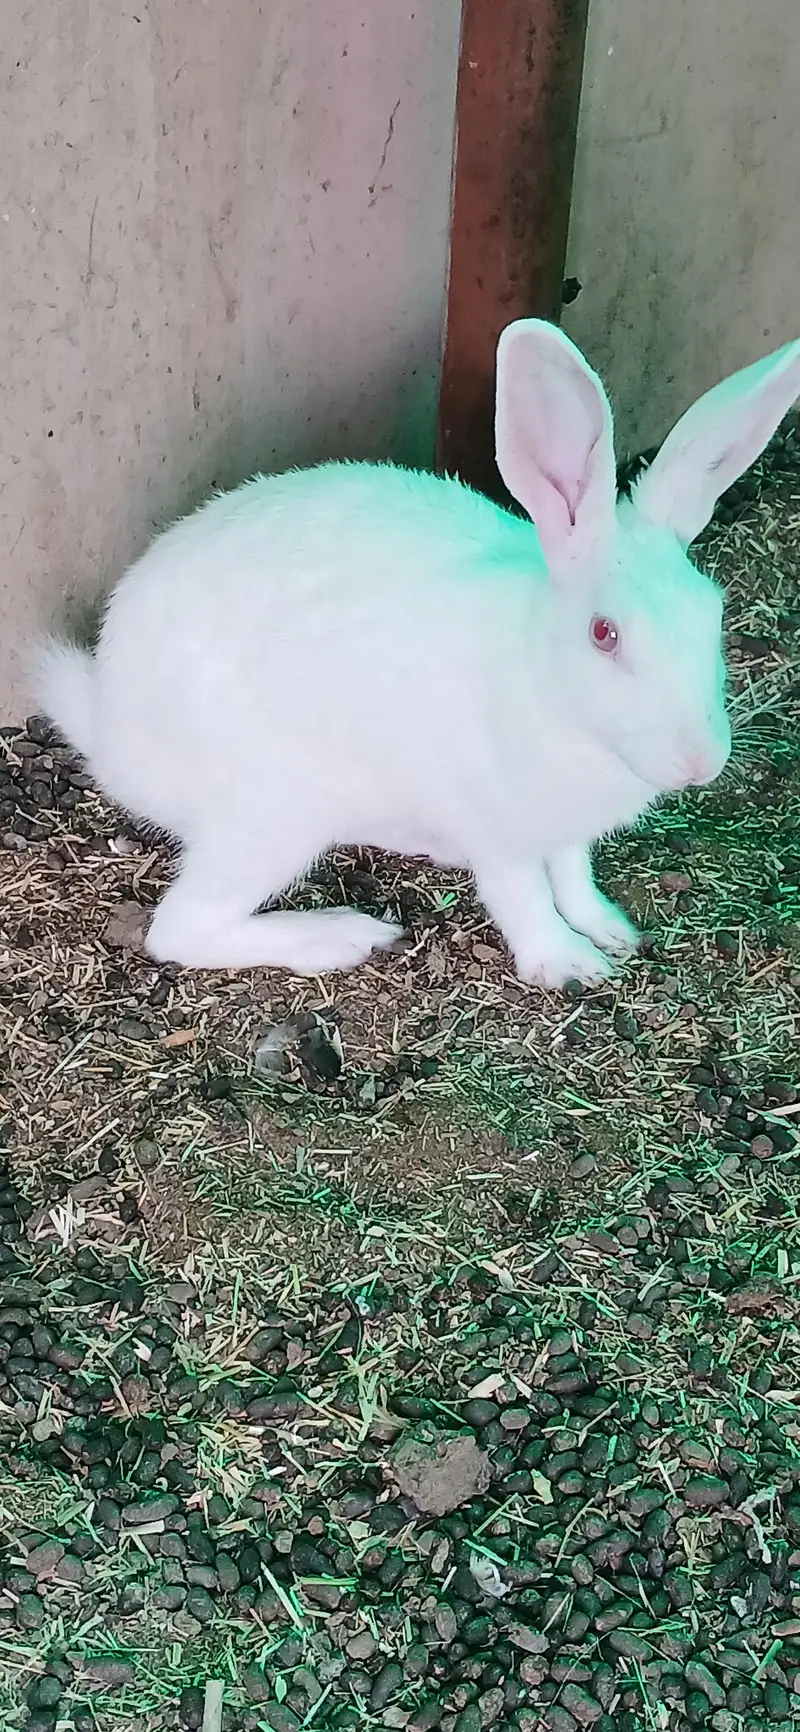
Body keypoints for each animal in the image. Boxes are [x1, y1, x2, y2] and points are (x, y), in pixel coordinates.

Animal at [33, 319, 800, 987]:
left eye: (714, 612)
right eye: (604, 633)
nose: (701, 764)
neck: (549, 687)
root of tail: (110, 731)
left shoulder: (564, 831)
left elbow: (573, 875)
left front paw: (609, 928)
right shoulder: (496, 825)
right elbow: (524, 894)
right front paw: (568, 965)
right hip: (275, 816)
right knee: (180, 930)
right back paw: (338, 936)